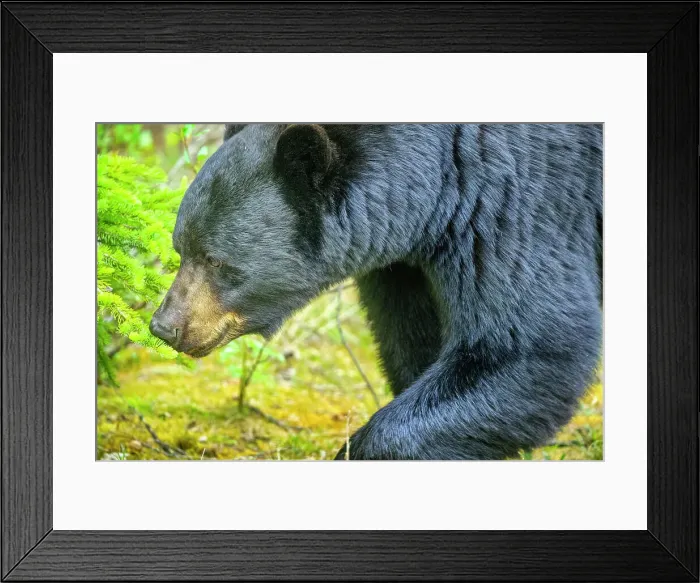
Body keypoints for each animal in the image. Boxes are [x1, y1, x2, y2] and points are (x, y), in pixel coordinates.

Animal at [150, 123, 603, 460]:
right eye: (180, 248)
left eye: (215, 260)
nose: (164, 326)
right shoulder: (401, 261)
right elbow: (412, 334)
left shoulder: (513, 197)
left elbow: (525, 344)